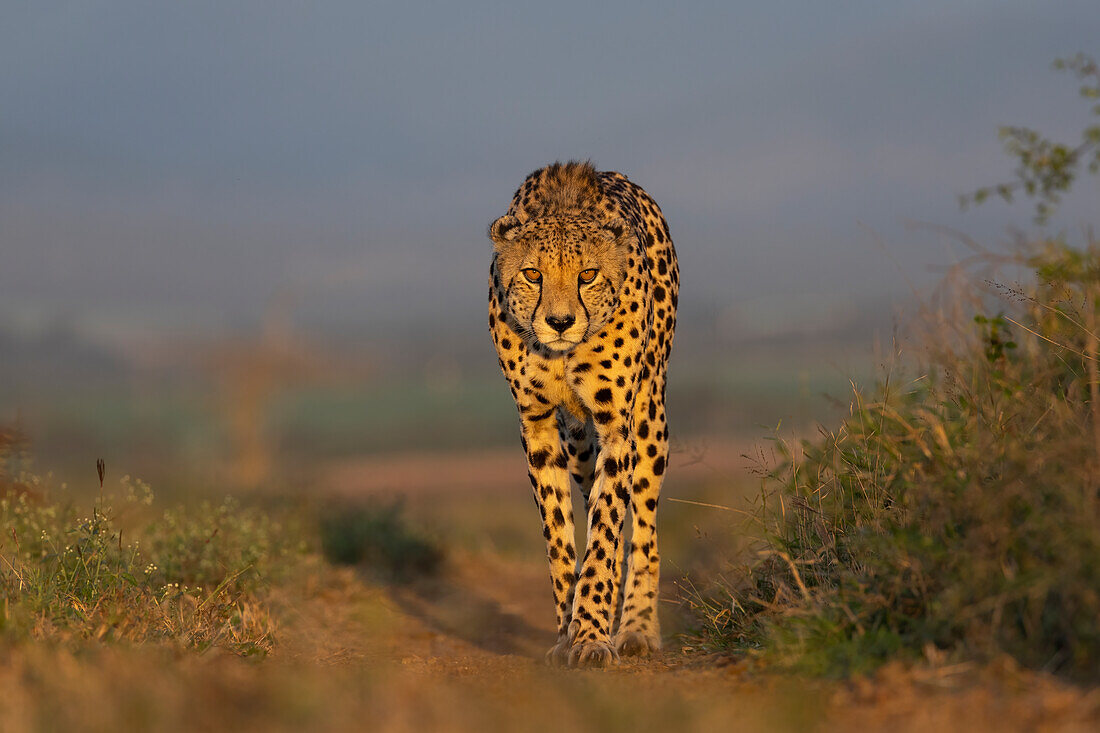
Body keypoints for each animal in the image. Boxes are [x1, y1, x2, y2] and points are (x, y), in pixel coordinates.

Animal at [490, 162, 677, 664]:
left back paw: (636, 627)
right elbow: (560, 541)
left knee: (643, 528)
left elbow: (607, 530)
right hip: (576, 442)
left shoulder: (617, 425)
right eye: (532, 274)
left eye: (588, 274)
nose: (559, 323)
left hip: (650, 418)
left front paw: (592, 635)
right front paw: (565, 634)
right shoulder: (535, 423)